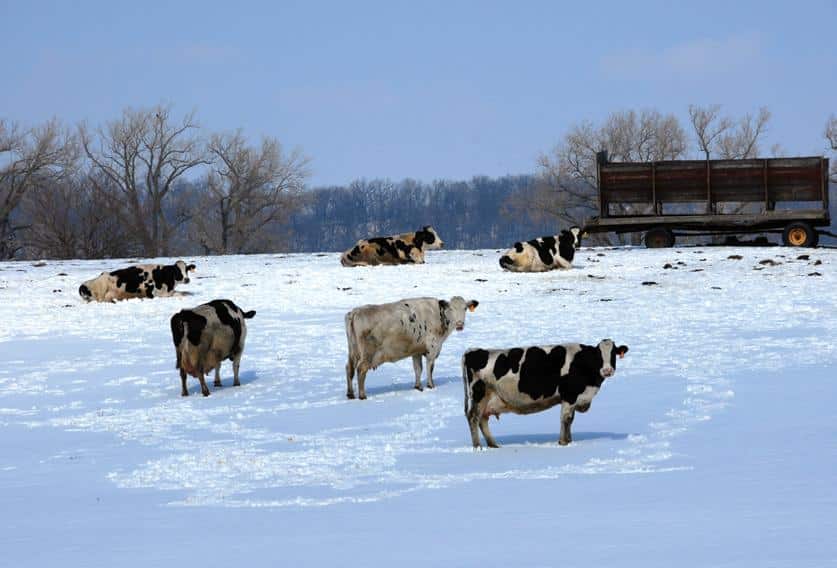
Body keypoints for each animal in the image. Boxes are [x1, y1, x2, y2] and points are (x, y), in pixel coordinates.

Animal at [344, 298, 476, 400]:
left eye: (465, 308)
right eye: (451, 309)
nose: (460, 324)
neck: (438, 315)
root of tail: (355, 312)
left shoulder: (416, 351)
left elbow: (418, 369)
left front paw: (418, 387)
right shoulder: (432, 349)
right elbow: (429, 368)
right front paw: (431, 385)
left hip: (352, 352)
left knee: (349, 368)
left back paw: (350, 394)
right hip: (367, 354)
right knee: (361, 369)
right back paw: (362, 395)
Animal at [460, 340, 632, 446]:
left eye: (613, 354)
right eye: (598, 355)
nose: (607, 370)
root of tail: (472, 351)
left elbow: (570, 420)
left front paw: (569, 441)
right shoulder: (569, 395)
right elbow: (565, 419)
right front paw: (563, 442)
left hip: (488, 398)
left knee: (483, 419)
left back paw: (493, 445)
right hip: (479, 393)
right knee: (474, 418)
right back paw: (478, 447)